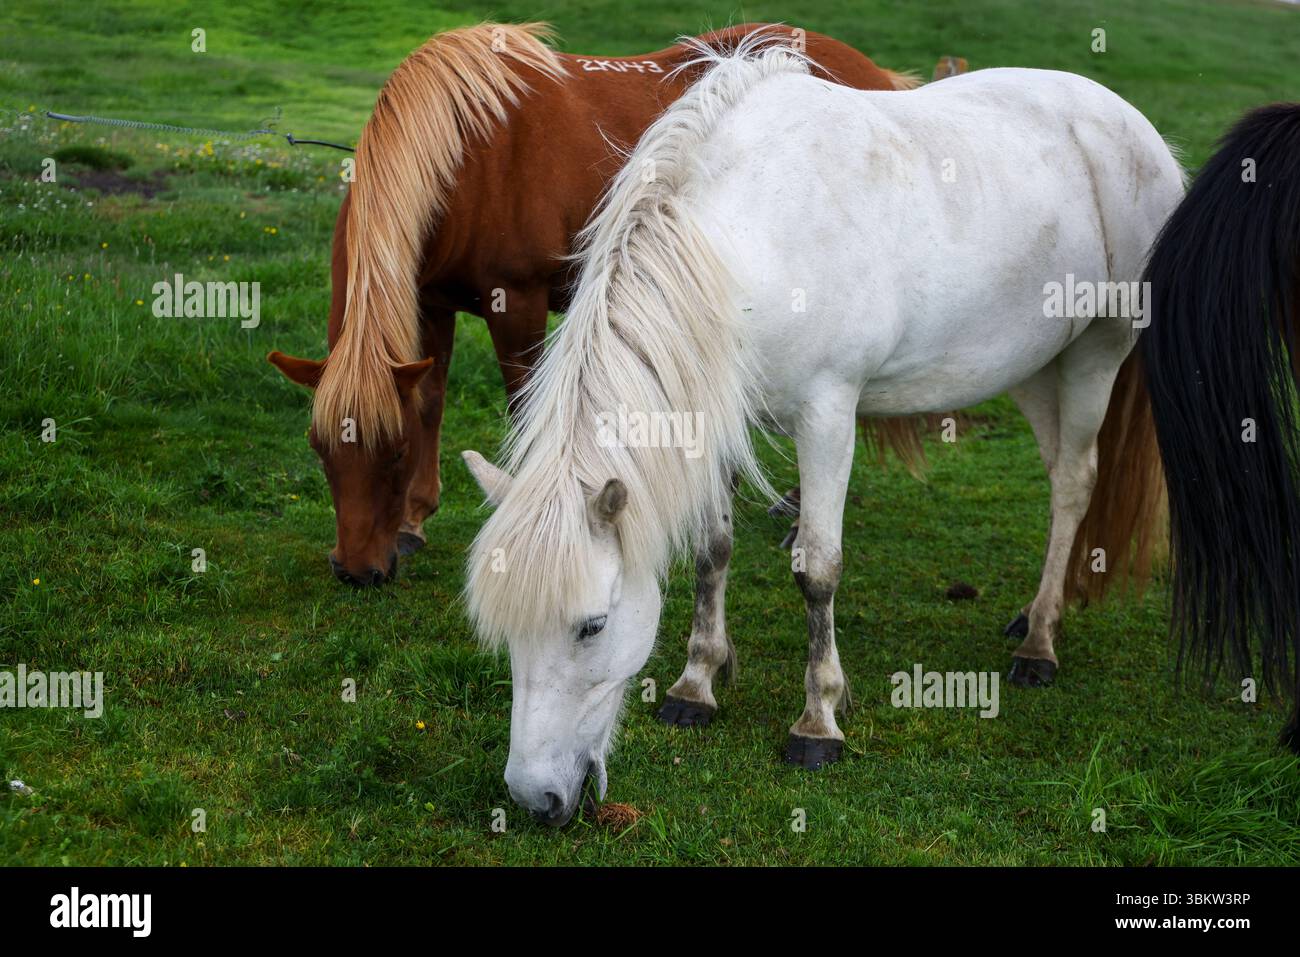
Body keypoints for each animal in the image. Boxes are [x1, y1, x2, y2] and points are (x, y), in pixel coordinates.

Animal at [265, 21, 917, 587]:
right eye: (320, 451)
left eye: (393, 454)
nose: (356, 571)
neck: (467, 156)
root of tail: (875, 74)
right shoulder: (430, 303)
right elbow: (429, 401)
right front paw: (414, 521)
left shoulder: (516, 304)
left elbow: (520, 407)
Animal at [462, 41, 1185, 826]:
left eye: (591, 625)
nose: (535, 796)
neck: (750, 242)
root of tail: (1136, 126)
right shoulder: (716, 418)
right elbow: (713, 550)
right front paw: (697, 684)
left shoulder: (828, 414)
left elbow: (818, 569)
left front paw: (817, 723)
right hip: (1035, 366)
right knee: (1058, 476)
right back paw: (1030, 618)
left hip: (1095, 356)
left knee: (1075, 484)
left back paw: (1042, 645)